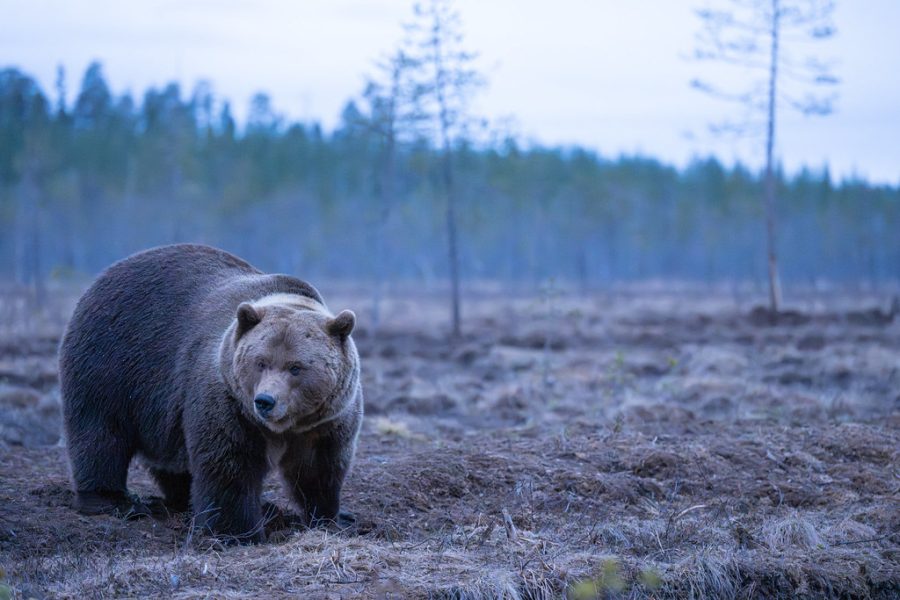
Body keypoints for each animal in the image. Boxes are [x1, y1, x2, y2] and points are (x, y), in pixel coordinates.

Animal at [59, 244, 363, 543]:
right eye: (260, 362)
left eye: (296, 367)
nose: (265, 401)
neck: (285, 427)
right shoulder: (230, 403)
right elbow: (229, 464)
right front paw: (236, 532)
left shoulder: (326, 422)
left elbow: (318, 469)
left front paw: (334, 517)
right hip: (113, 363)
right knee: (101, 433)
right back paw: (114, 501)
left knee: (172, 459)